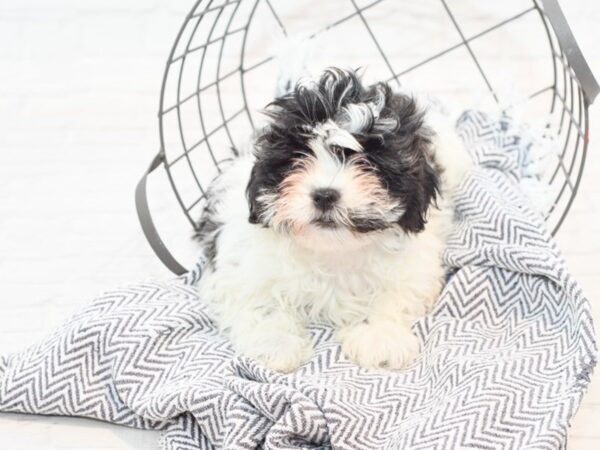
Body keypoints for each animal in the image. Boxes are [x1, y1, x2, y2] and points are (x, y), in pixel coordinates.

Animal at [195, 67, 472, 372]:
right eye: (299, 157)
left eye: (369, 164)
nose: (325, 195)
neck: (331, 250)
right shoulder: (243, 267)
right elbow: (261, 303)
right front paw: (276, 342)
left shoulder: (413, 267)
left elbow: (393, 297)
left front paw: (380, 336)